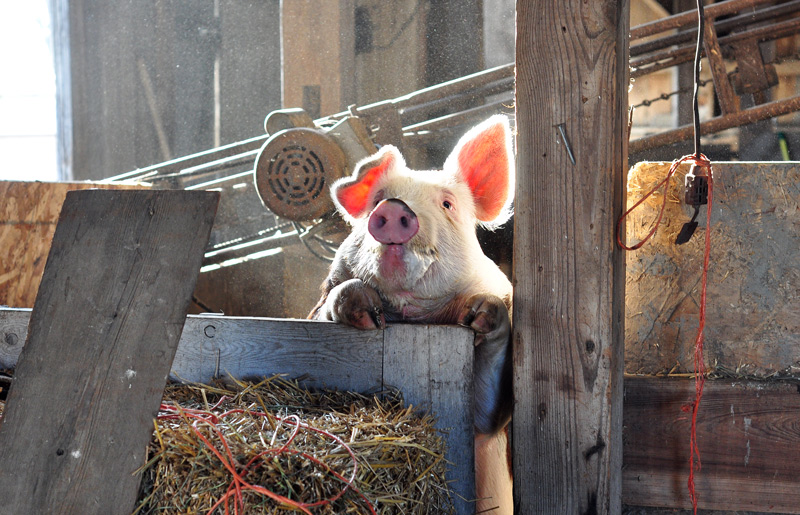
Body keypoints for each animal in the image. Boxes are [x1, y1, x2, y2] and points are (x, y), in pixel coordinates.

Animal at [309, 115, 514, 514]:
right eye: (376, 200)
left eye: (447, 204)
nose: (393, 207)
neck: (412, 315)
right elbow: (331, 304)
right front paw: (367, 313)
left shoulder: (487, 426)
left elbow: (487, 411)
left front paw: (481, 314)